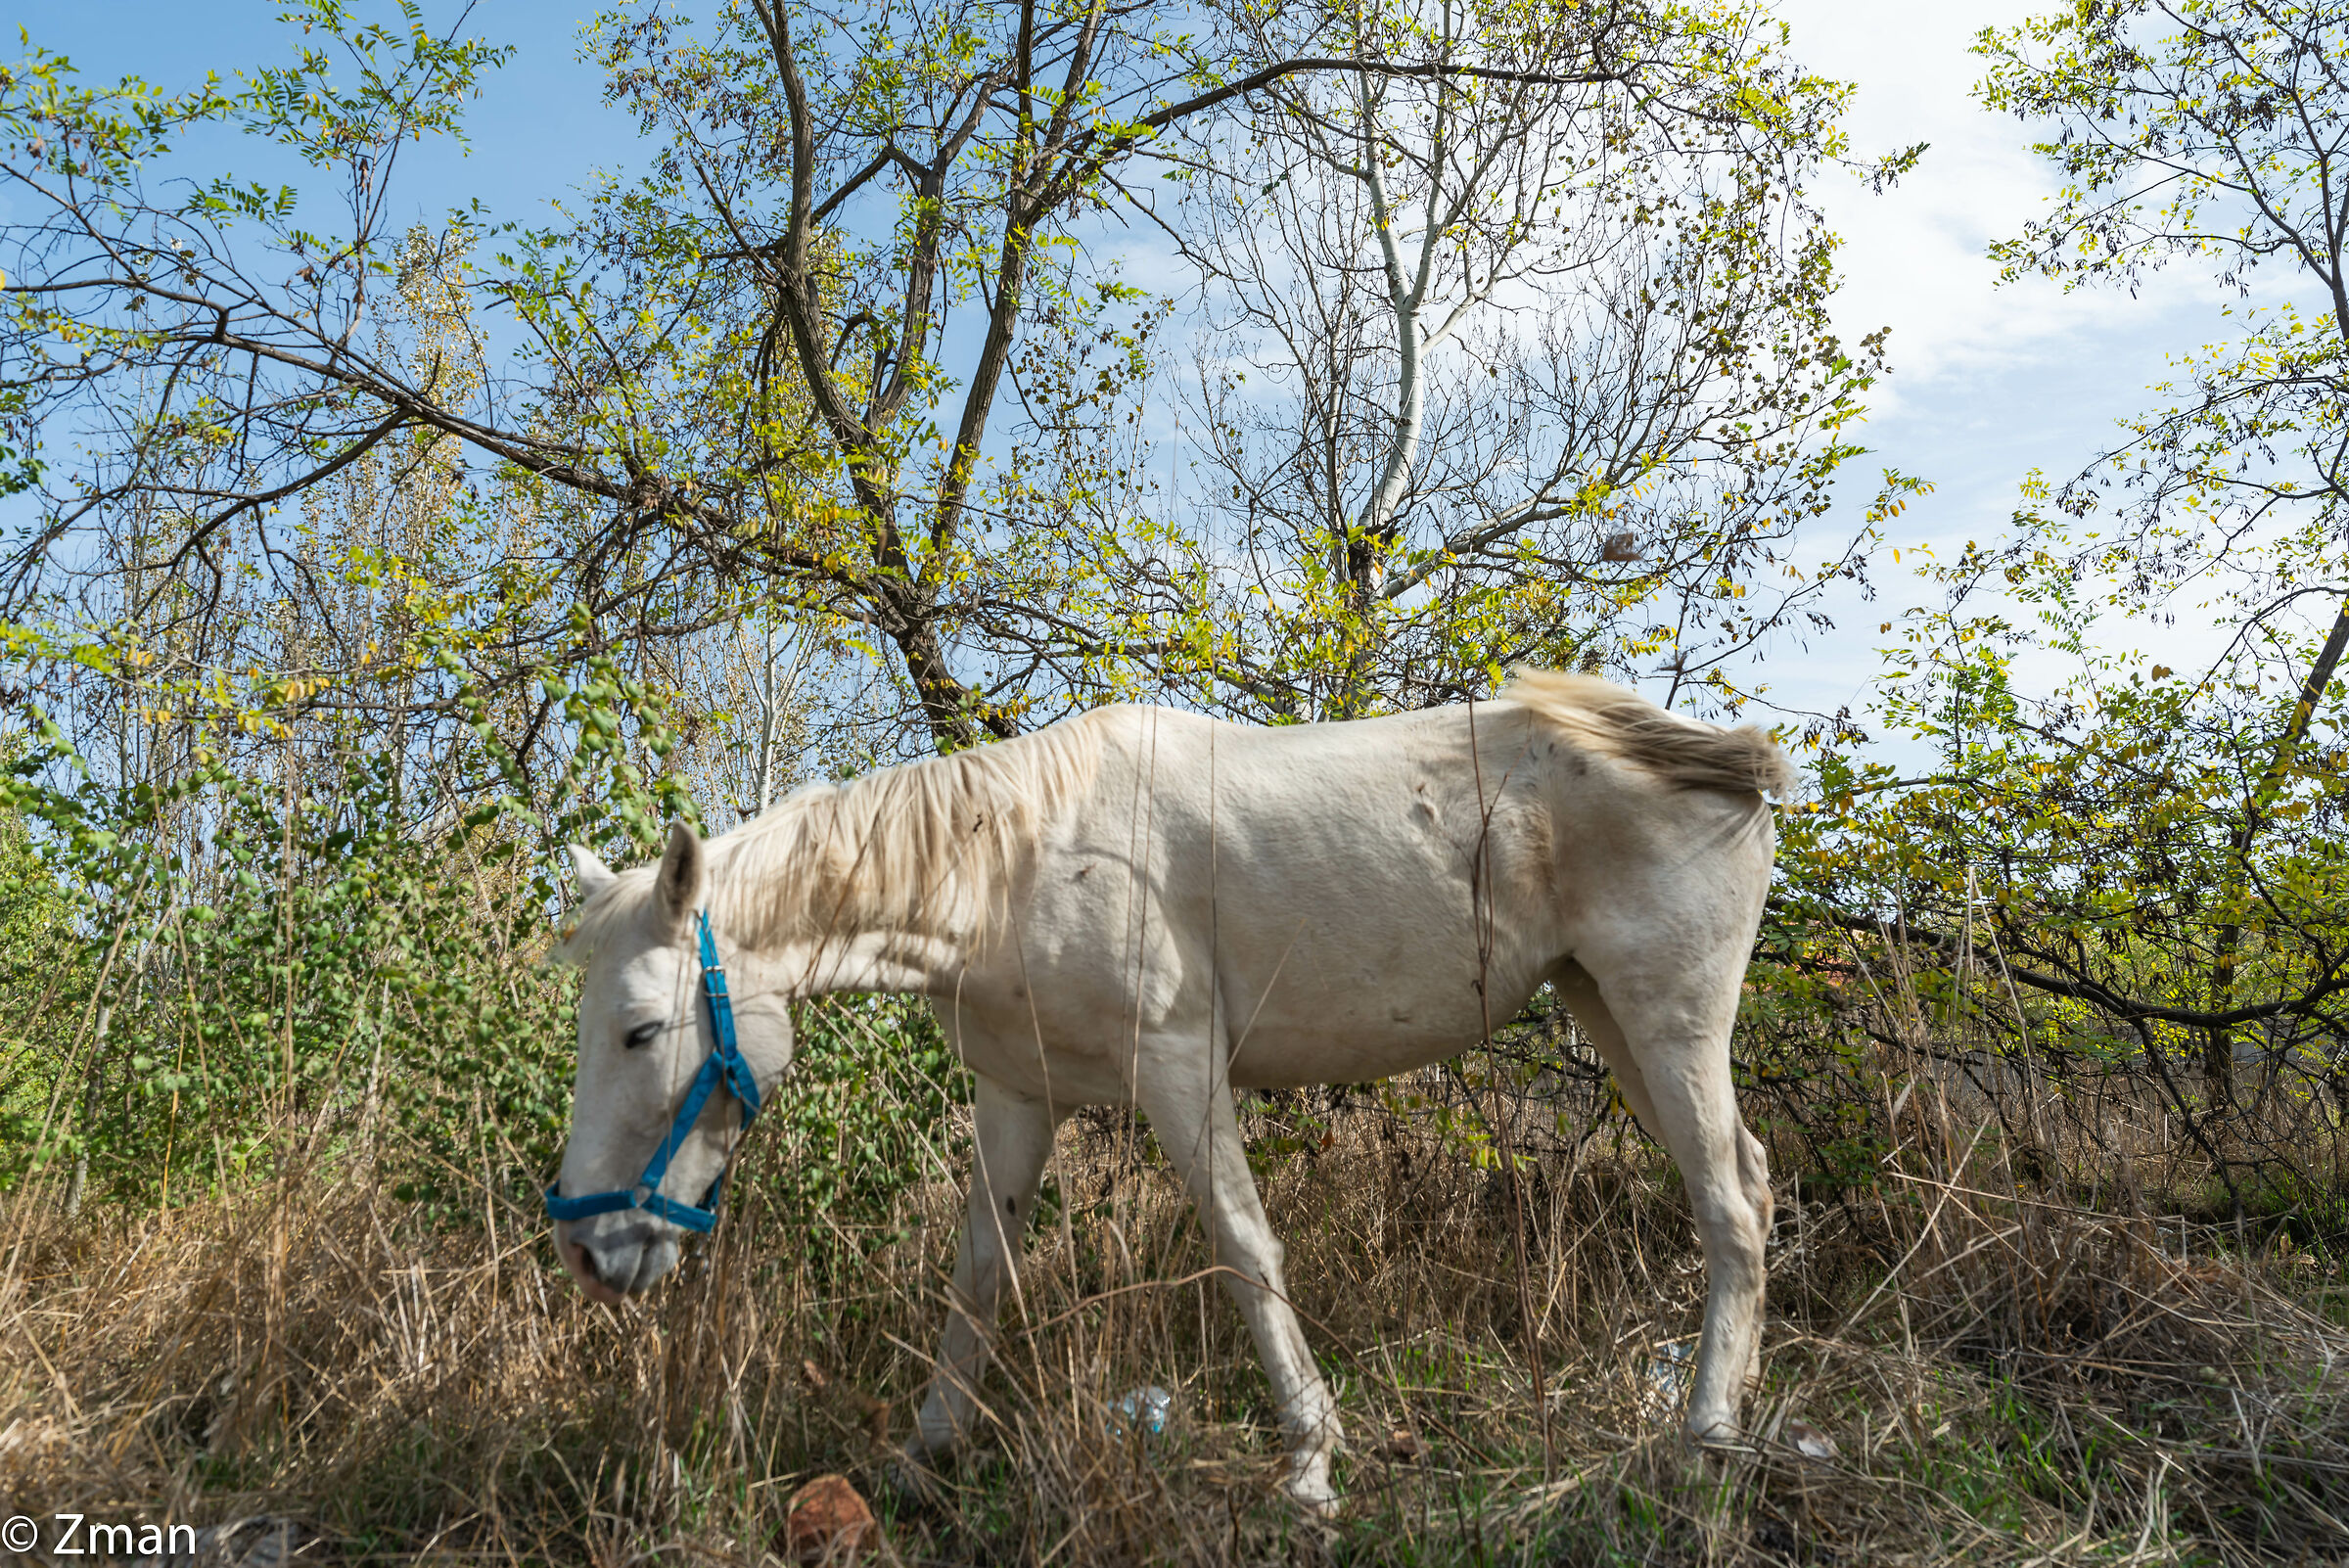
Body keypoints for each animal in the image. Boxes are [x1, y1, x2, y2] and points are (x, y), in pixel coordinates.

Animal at [546, 670, 1791, 1512]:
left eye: (640, 1029)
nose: (589, 1250)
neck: (1013, 865)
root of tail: (1705, 757)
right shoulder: (1016, 1096)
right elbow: (978, 1277)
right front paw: (924, 1455)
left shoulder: (1180, 1067)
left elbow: (1243, 1245)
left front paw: (1311, 1459)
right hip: (1610, 1013)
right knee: (1750, 1186)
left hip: (1668, 1023)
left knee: (1729, 1206)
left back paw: (1705, 1436)